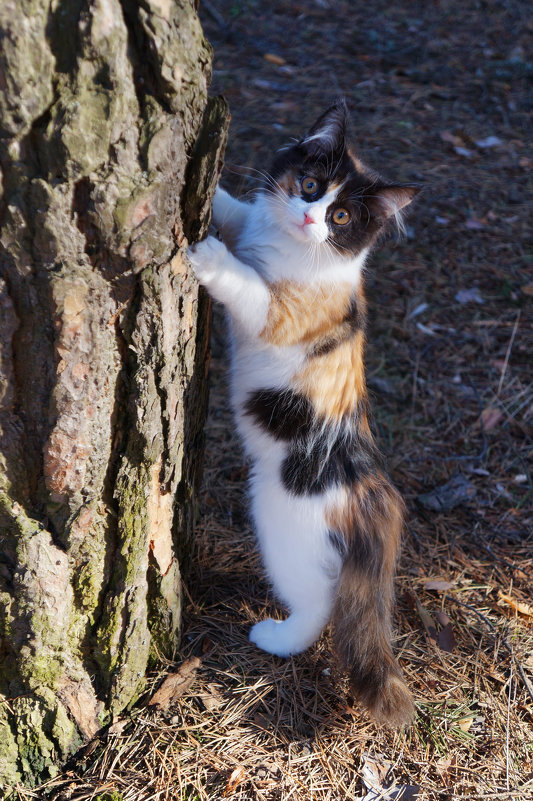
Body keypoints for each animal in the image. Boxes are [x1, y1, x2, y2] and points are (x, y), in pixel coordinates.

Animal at [189, 98, 422, 724]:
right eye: (311, 186)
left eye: (340, 217)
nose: (310, 219)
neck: (286, 247)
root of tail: (373, 494)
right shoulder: (254, 221)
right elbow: (241, 210)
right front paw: (217, 196)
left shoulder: (280, 314)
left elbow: (249, 286)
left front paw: (210, 256)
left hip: (281, 528)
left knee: (319, 606)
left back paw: (276, 638)